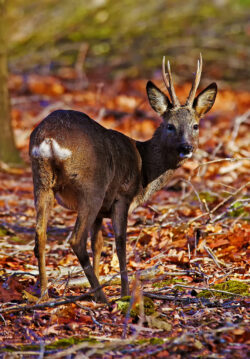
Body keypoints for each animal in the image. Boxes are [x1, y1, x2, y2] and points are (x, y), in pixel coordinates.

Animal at [29, 54, 217, 302]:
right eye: (170, 126)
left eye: (195, 125)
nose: (186, 147)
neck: (145, 170)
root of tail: (49, 139)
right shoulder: (122, 196)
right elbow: (120, 243)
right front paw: (125, 293)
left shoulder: (102, 211)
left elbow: (98, 243)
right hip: (92, 186)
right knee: (76, 239)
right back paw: (102, 296)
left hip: (40, 180)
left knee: (40, 235)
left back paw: (43, 294)